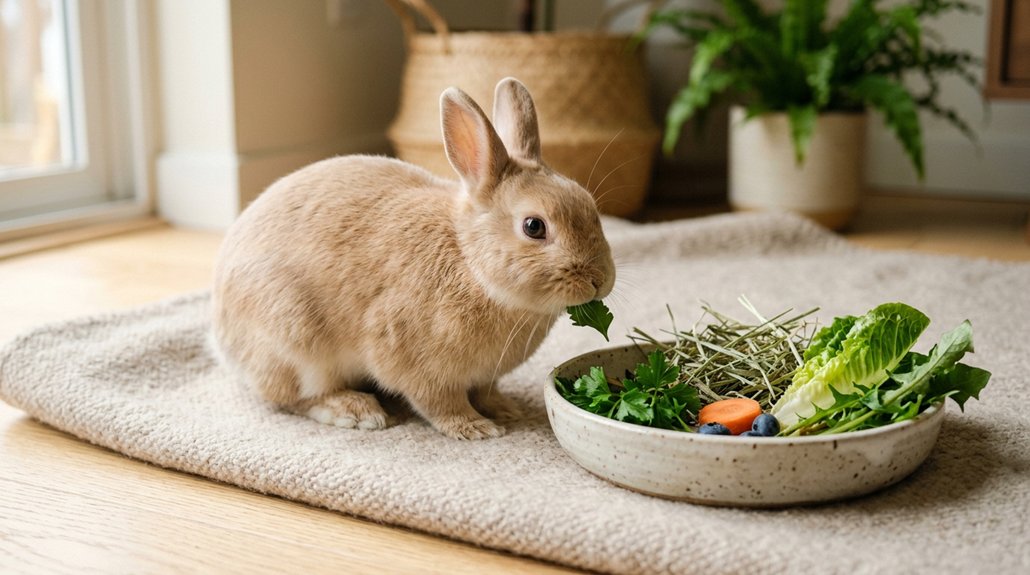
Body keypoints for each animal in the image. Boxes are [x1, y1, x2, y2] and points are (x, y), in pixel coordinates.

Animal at [211, 77, 616, 439]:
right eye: (534, 226)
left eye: (590, 207)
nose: (599, 280)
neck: (470, 263)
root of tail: (221, 339)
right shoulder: (414, 362)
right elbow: (440, 402)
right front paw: (476, 428)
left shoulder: (485, 375)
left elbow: (486, 391)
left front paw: (505, 409)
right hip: (296, 342)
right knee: (295, 396)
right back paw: (357, 411)